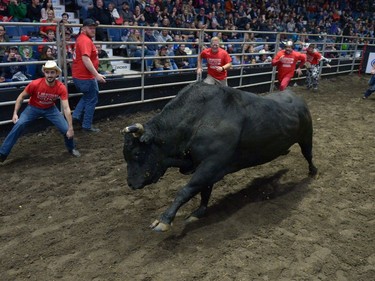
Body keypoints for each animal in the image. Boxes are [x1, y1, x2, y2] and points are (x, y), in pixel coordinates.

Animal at [121, 82, 318, 231]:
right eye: (125, 156)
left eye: (137, 153)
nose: (131, 183)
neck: (197, 120)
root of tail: (295, 97)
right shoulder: (205, 166)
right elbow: (204, 190)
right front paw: (198, 212)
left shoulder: (212, 164)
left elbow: (186, 190)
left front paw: (164, 220)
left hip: (306, 136)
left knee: (308, 154)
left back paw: (313, 171)